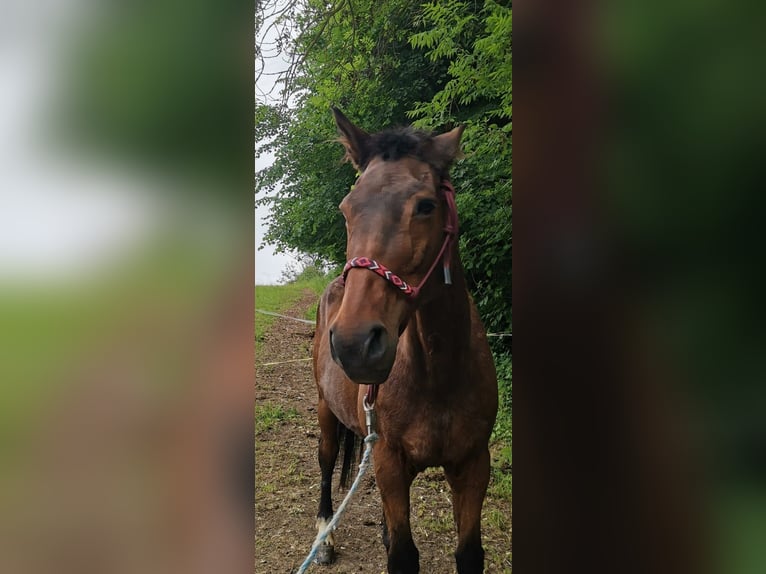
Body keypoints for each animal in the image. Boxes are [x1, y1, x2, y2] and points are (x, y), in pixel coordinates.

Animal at [311, 107, 498, 574]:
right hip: (326, 410)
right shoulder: (390, 461)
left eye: (426, 206)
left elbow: (469, 554)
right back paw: (324, 536)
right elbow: (402, 556)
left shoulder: (473, 464)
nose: (355, 343)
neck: (437, 373)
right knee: (325, 461)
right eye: (346, 210)